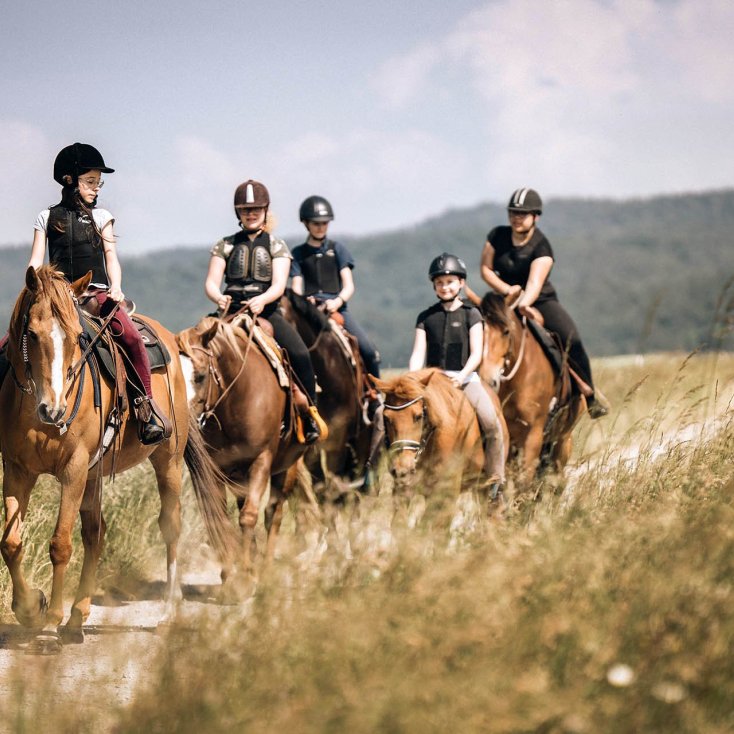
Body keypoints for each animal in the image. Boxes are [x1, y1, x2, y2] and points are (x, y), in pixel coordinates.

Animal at [0, 266, 231, 652]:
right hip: (95, 478)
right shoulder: (18, 471)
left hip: (167, 461)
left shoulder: (74, 470)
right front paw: (31, 608)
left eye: (77, 337)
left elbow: (60, 544)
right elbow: (11, 543)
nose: (54, 410)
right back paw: (77, 618)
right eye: (31, 333)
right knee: (96, 535)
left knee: (170, 526)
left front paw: (51, 616)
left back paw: (168, 612)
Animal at [176, 315, 308, 582]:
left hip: (286, 469)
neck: (237, 398)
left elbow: (249, 517)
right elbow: (222, 520)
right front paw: (231, 577)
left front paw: (246, 576)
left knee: (273, 514)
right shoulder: (216, 469)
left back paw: (265, 568)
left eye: (201, 375)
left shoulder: (261, 461)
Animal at [477, 292, 586, 483]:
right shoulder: (508, 437)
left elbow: (524, 481)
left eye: (506, 331)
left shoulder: (533, 435)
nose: (488, 380)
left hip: (562, 441)